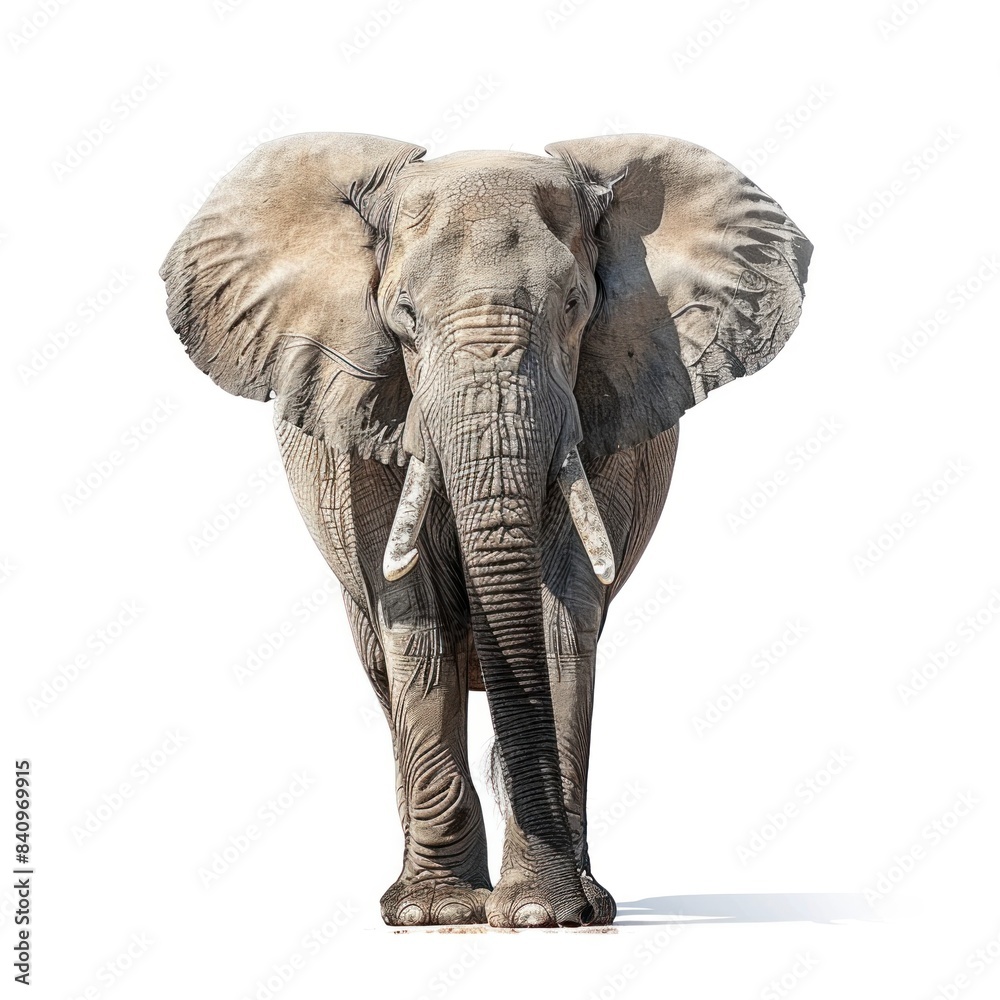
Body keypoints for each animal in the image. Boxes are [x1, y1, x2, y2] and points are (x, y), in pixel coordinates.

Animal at [160, 131, 812, 928]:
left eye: (575, 306)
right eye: (403, 314)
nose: (541, 905)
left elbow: (562, 612)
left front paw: (546, 914)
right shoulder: (360, 425)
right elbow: (416, 618)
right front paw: (435, 915)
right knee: (383, 671)